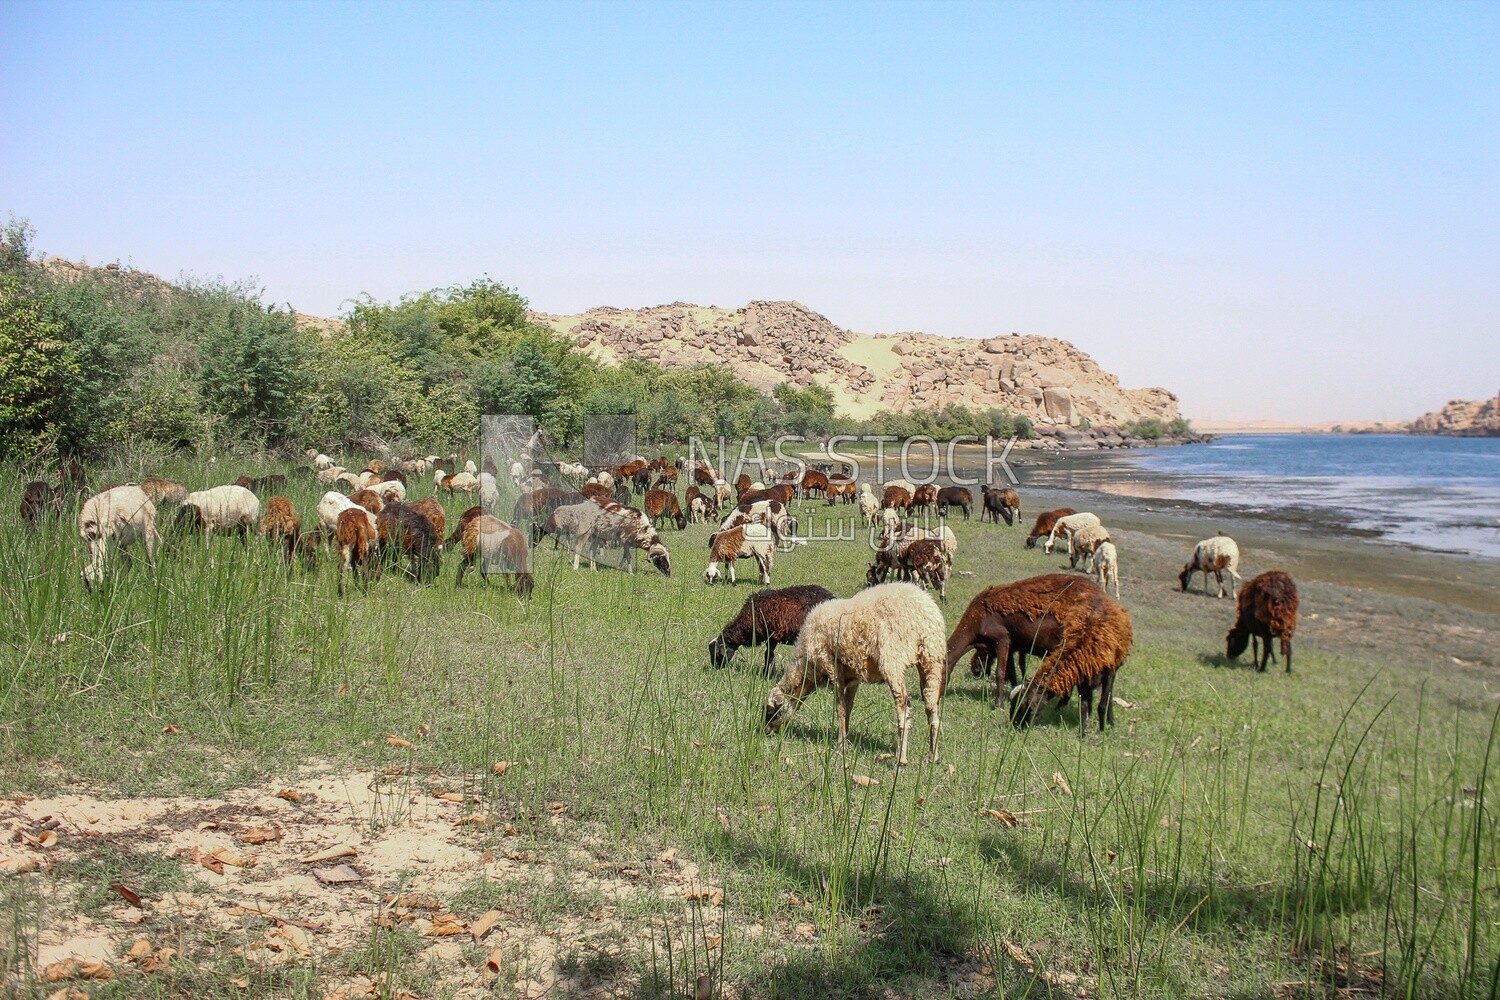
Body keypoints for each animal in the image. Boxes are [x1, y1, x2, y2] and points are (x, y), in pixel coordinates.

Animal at [708, 578, 840, 671]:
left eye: (716, 654)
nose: (715, 669)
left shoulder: (771, 635)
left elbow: (768, 655)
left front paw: (767, 674)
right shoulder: (771, 638)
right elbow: (769, 655)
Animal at [762, 578, 948, 767]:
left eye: (770, 712)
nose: (765, 731)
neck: (808, 668)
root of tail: (924, 612)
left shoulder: (834, 671)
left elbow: (840, 709)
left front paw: (840, 746)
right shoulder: (853, 678)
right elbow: (848, 708)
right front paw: (845, 740)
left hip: (893, 661)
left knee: (903, 710)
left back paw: (901, 759)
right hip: (932, 657)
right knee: (932, 707)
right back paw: (933, 756)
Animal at [1014, 587, 1128, 734]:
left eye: (1024, 705)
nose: (1016, 726)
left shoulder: (1108, 673)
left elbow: (1102, 705)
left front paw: (1102, 731)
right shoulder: (1082, 679)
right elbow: (1083, 707)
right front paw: (1083, 732)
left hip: (1114, 669)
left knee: (1109, 695)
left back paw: (1110, 721)